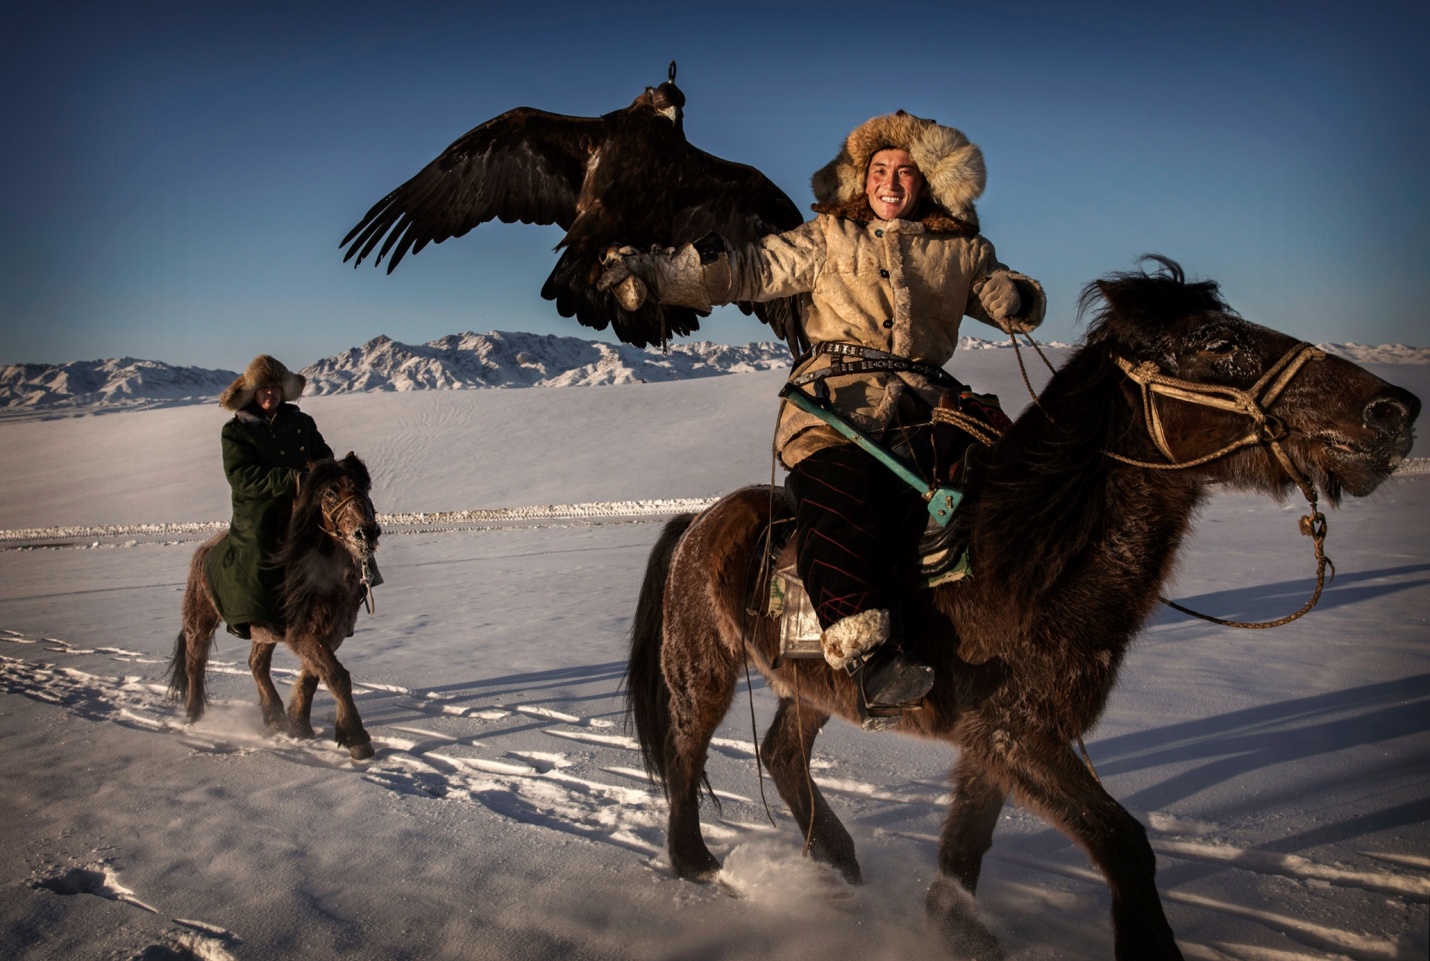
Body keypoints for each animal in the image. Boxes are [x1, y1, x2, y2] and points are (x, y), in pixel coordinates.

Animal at [168, 452, 383, 760]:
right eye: (329, 493)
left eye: (364, 487)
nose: (366, 533)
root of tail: (203, 550)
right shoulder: (304, 634)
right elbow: (336, 676)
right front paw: (356, 738)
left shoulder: (329, 633)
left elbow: (313, 676)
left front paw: (299, 726)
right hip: (201, 618)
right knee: (195, 660)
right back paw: (195, 717)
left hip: (262, 632)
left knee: (257, 665)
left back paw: (274, 718)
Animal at [625, 258, 1420, 960]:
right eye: (1217, 343)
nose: (1394, 409)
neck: (1014, 558)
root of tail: (699, 520)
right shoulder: (1019, 732)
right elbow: (1123, 843)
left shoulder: (998, 733)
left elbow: (968, 842)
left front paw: (956, 929)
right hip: (703, 664)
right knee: (688, 746)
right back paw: (700, 864)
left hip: (817, 681)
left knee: (784, 752)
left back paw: (840, 868)